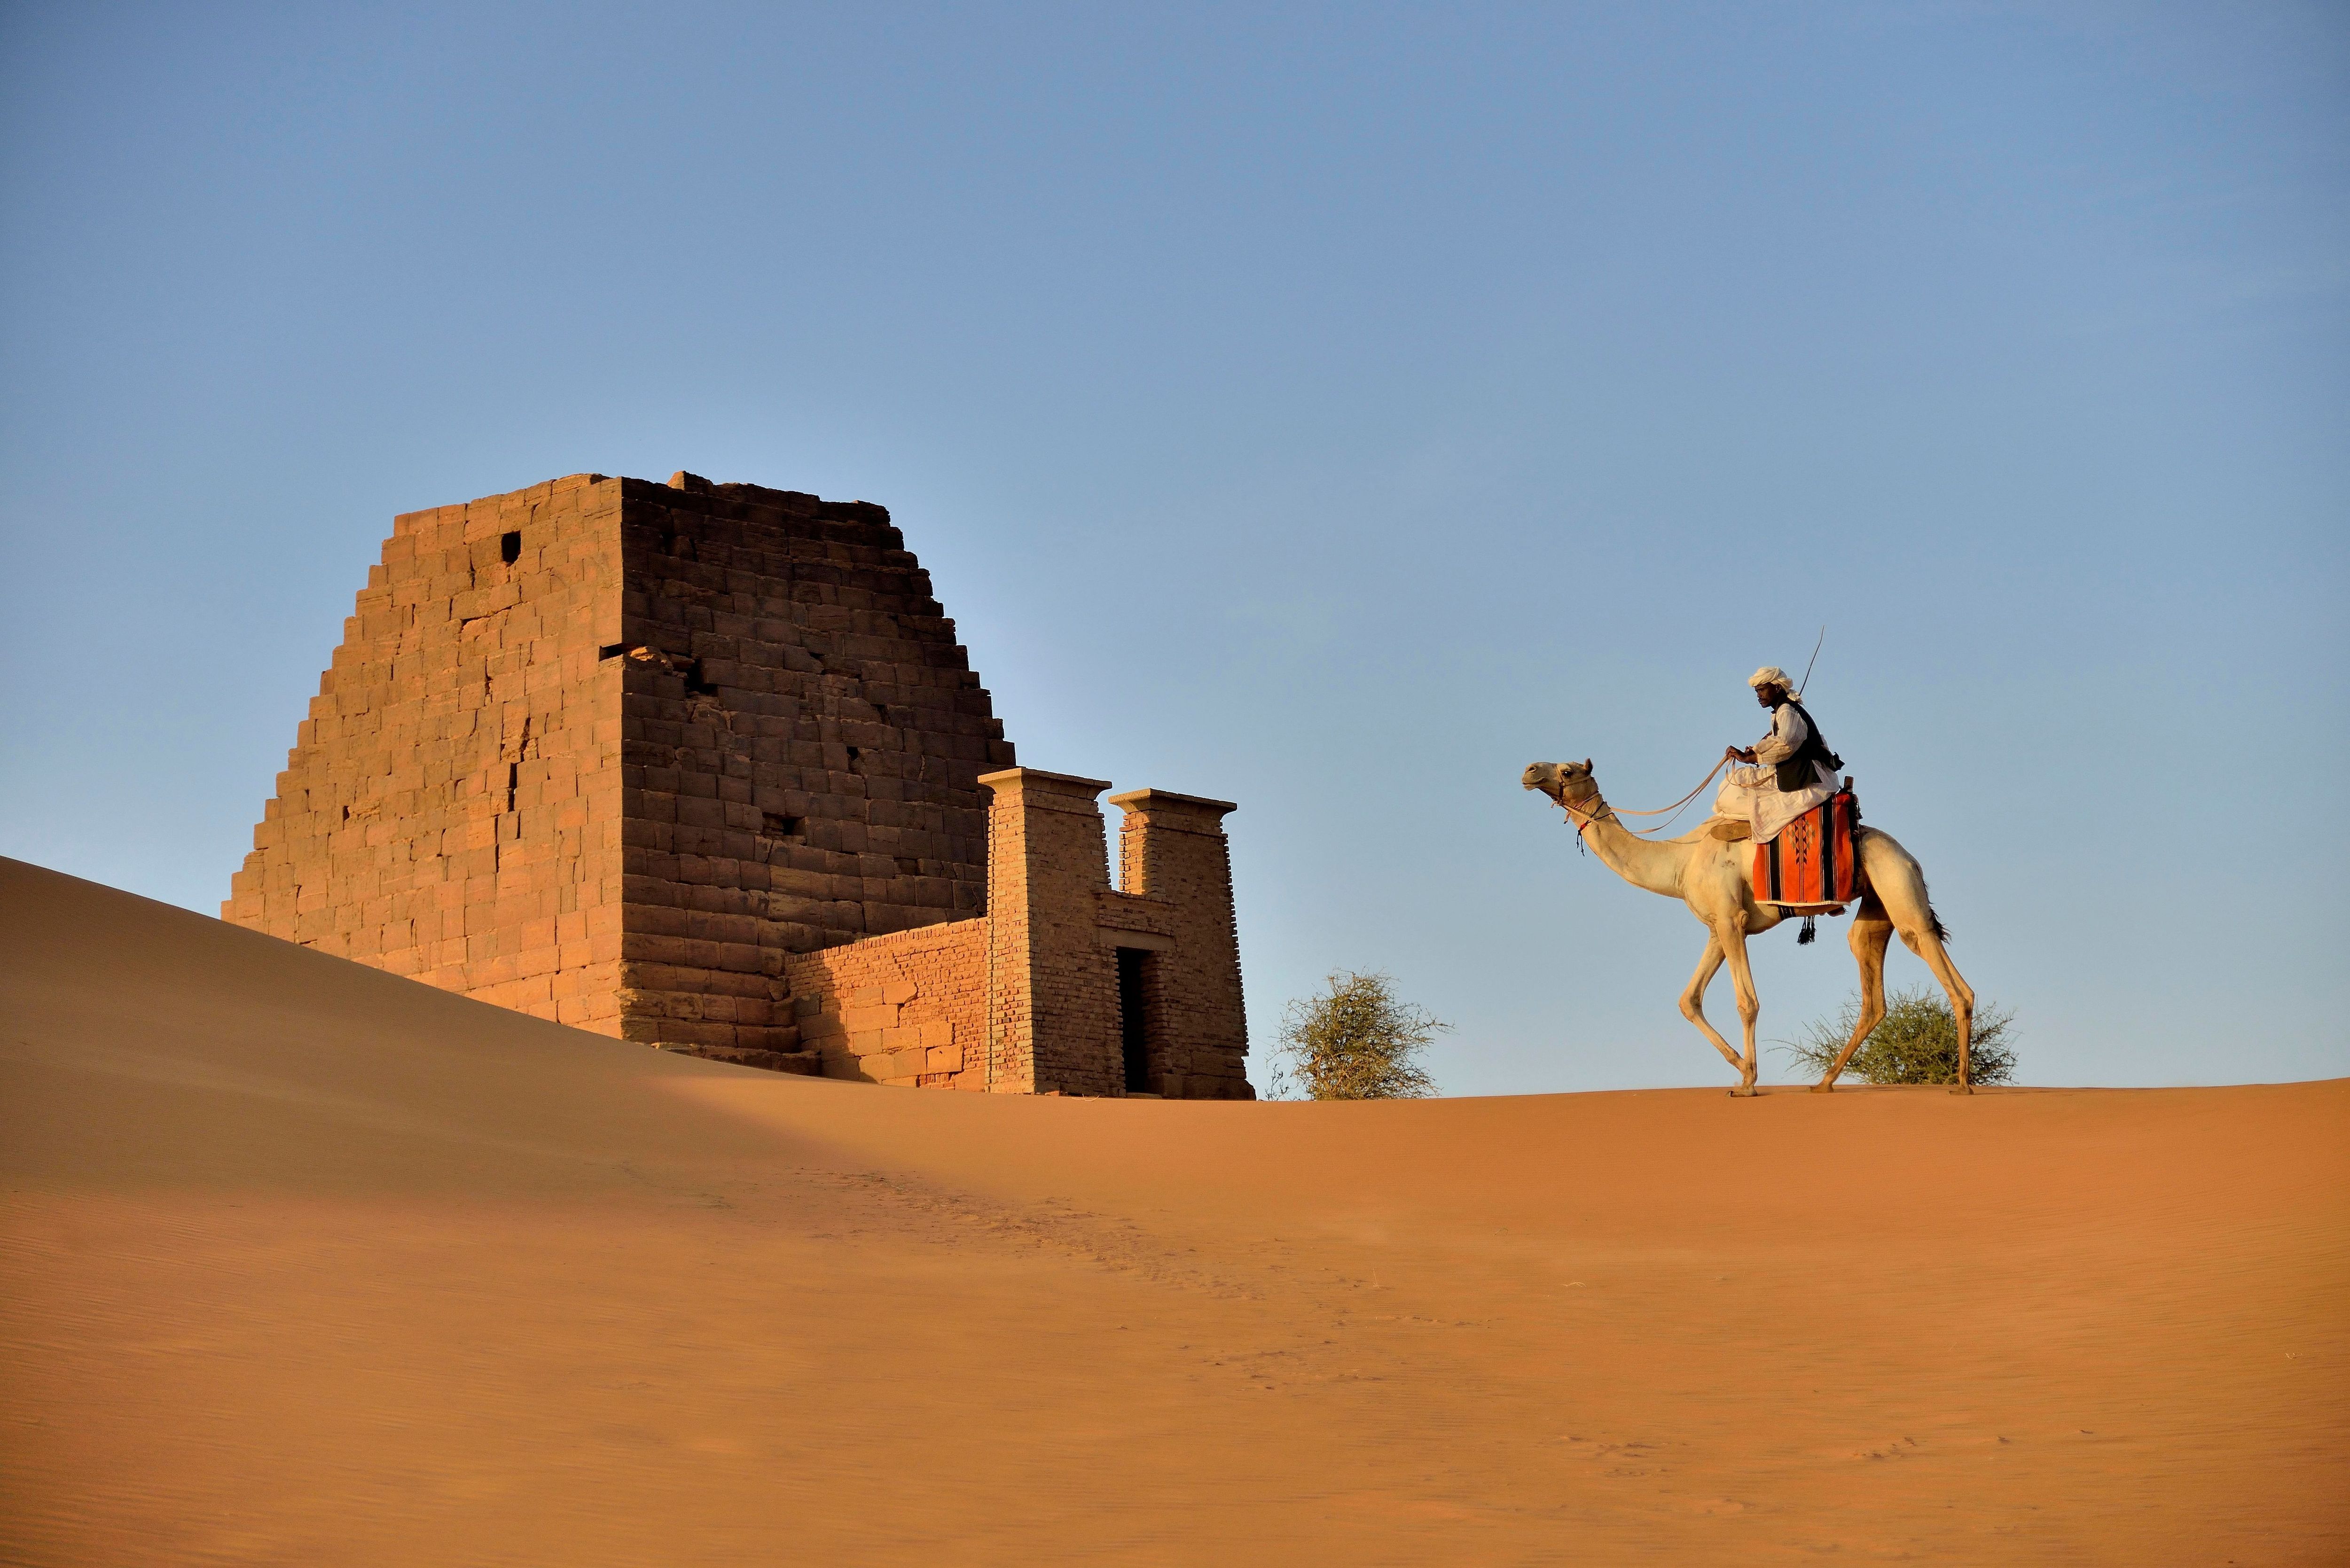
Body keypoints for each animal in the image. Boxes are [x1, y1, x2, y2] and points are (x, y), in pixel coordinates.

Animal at [1513, 761, 1974, 1091]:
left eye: (1568, 770)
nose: (1530, 770)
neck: (1680, 862)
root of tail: (1911, 858)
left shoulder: (1731, 921)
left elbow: (1746, 1002)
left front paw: (1750, 1080)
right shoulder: (1717, 927)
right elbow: (1689, 1000)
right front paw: (1739, 1066)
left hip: (1898, 885)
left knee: (1940, 964)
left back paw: (1963, 1083)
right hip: (1877, 906)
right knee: (1872, 982)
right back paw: (1824, 1083)